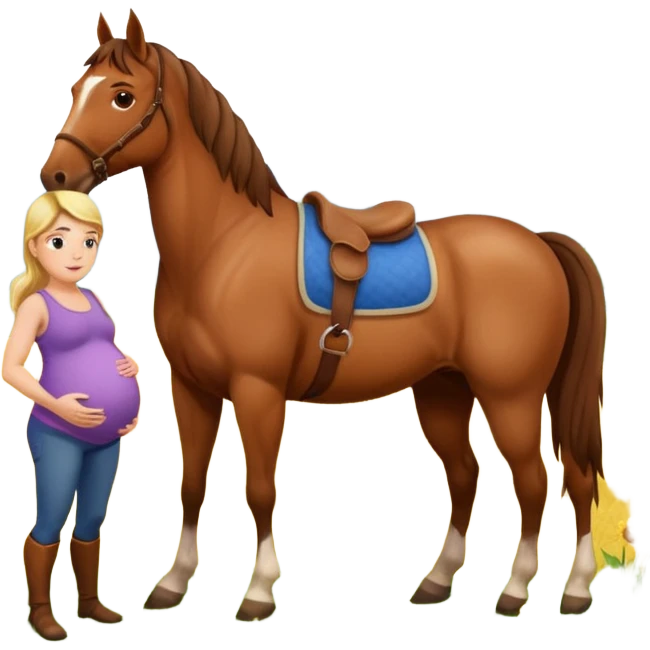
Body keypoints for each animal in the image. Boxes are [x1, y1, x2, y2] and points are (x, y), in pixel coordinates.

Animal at [40, 9, 607, 622]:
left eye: (122, 96)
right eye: (77, 88)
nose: (55, 176)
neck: (223, 247)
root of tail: (540, 243)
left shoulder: (258, 391)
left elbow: (261, 489)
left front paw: (259, 592)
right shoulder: (192, 389)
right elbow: (191, 485)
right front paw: (171, 584)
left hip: (512, 396)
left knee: (543, 482)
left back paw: (533, 590)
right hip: (444, 390)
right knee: (469, 476)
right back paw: (441, 583)